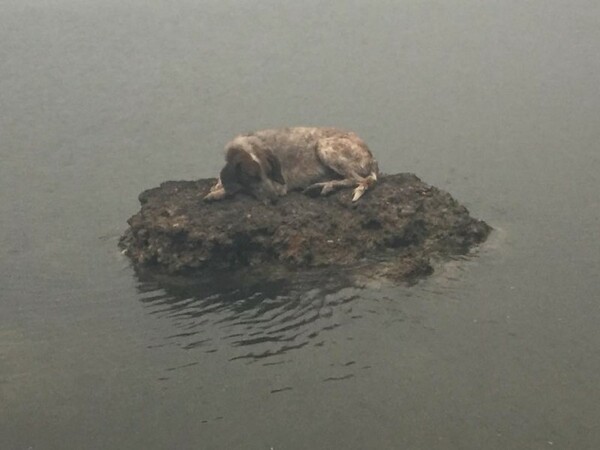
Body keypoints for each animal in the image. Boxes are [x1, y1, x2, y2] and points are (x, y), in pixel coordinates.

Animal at [204, 127, 378, 203]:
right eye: (251, 176)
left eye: (269, 172)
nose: (274, 198)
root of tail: (372, 158)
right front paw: (217, 186)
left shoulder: (279, 185)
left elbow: (239, 189)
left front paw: (218, 193)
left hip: (323, 146)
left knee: (359, 180)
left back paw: (325, 185)